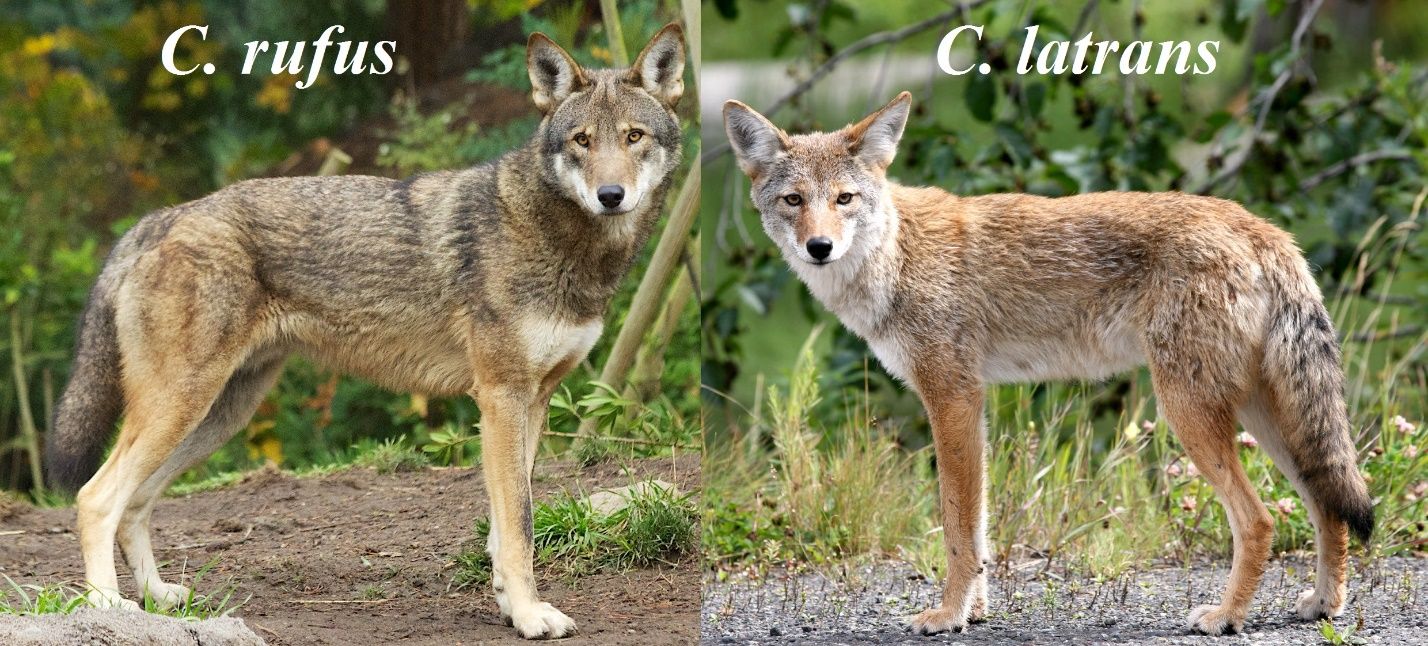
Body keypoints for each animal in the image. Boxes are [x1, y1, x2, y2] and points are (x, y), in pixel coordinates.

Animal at [45, 24, 685, 639]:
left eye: (634, 137)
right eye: (582, 141)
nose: (610, 196)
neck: (560, 240)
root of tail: (160, 218)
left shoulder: (533, 401)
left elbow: (505, 531)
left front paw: (510, 606)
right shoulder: (501, 399)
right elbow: (521, 526)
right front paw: (530, 616)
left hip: (216, 416)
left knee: (135, 504)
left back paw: (158, 599)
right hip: (182, 407)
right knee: (96, 497)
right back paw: (107, 608)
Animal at [724, 91, 1373, 636]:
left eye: (844, 199)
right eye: (793, 200)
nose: (820, 248)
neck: (897, 257)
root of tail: (1263, 228)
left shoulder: (951, 398)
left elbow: (957, 529)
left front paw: (946, 617)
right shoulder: (972, 405)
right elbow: (979, 528)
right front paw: (974, 612)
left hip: (1191, 414)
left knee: (1261, 520)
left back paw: (1225, 617)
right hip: (1266, 419)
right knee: (1327, 504)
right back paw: (1324, 605)